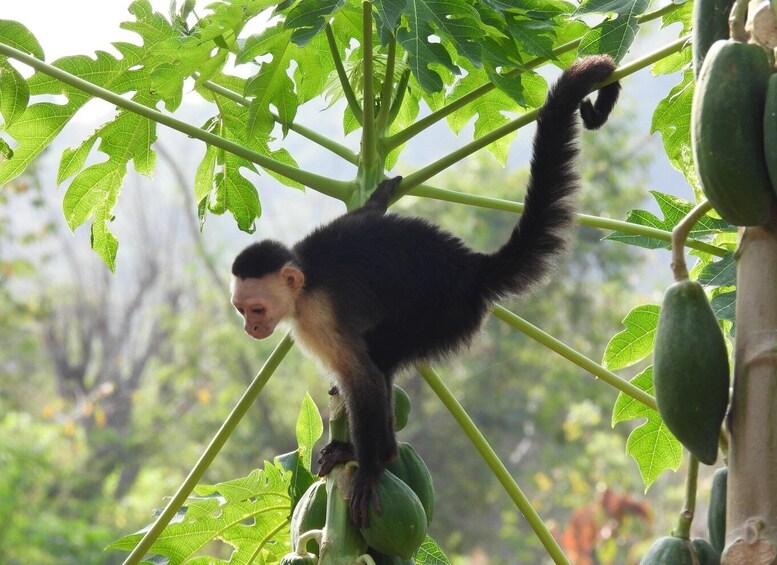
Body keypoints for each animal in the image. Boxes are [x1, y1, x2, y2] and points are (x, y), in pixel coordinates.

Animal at [230, 55, 621, 527]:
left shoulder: (317, 317)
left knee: (380, 355)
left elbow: (362, 377)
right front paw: (381, 194)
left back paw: (374, 454)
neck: (303, 283)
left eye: (256, 309)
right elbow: (365, 215)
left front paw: (372, 467)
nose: (250, 329)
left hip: (444, 315)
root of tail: (472, 268)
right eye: (241, 311)